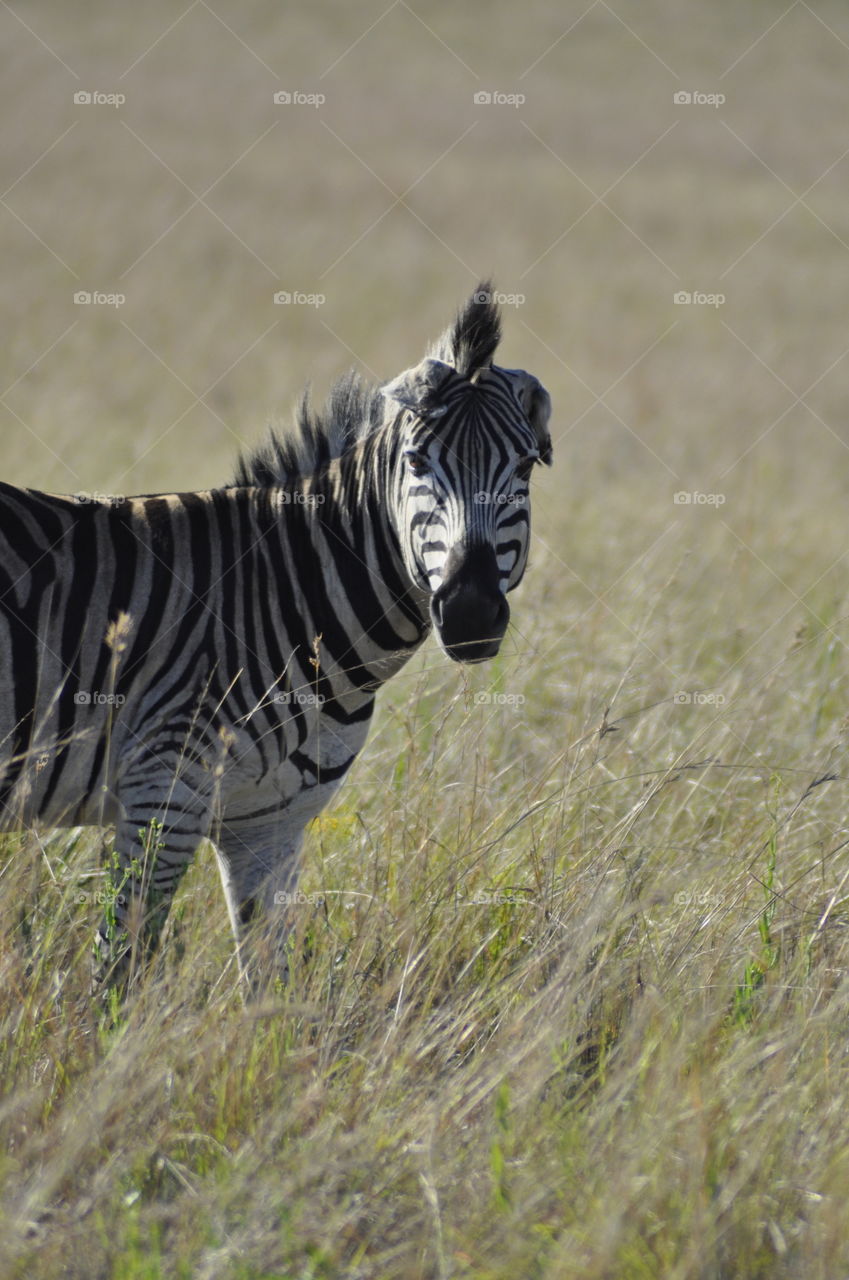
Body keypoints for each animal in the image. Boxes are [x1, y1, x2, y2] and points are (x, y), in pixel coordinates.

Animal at [0, 285, 552, 986]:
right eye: (417, 462)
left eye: (525, 469)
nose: (472, 613)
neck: (291, 594)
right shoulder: (162, 790)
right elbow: (119, 967)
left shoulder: (266, 827)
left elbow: (270, 984)